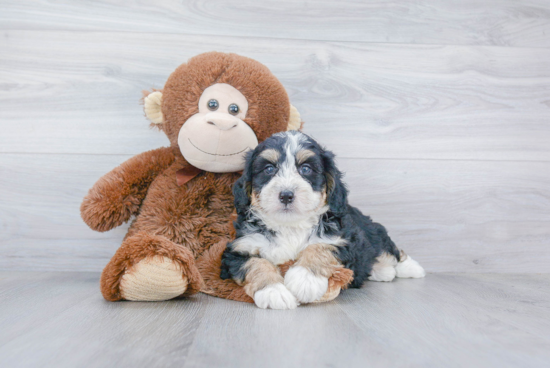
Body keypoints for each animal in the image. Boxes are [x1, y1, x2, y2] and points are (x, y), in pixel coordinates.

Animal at [220, 131, 426, 310]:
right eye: (269, 169)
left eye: (306, 169)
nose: (286, 195)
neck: (290, 225)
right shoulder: (238, 249)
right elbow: (256, 264)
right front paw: (274, 292)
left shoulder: (344, 240)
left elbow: (320, 247)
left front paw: (304, 279)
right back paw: (382, 271)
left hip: (373, 230)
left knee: (390, 250)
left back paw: (411, 269)